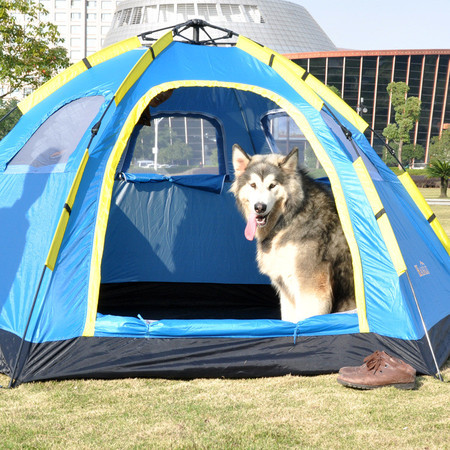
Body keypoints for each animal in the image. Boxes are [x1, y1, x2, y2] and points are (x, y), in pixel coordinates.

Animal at [232, 142, 356, 322]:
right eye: (253, 185)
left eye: (272, 185)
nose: (259, 207)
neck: (290, 218)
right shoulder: (287, 289)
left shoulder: (312, 291)